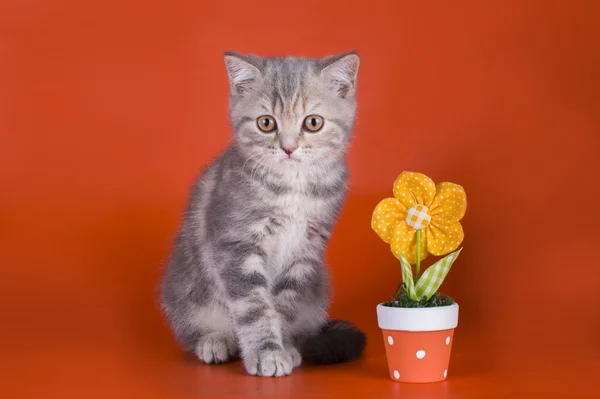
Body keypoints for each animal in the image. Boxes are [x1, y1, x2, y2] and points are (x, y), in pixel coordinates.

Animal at [159, 51, 366, 376]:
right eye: (266, 123)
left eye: (313, 122)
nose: (289, 147)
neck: (293, 186)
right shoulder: (237, 244)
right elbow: (254, 307)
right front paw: (266, 352)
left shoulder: (306, 252)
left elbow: (282, 306)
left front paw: (281, 347)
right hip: (185, 287)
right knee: (192, 329)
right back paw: (215, 341)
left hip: (318, 288)